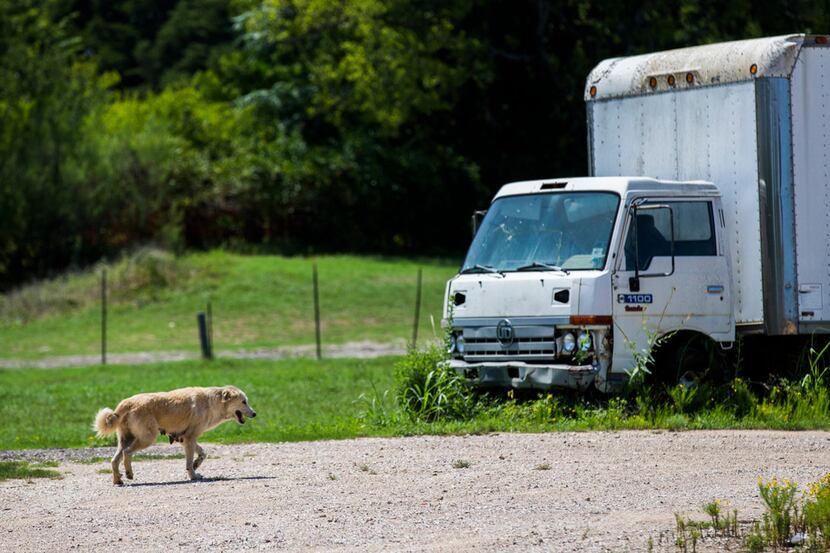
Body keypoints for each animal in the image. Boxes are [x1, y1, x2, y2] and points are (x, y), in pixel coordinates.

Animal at [94, 384, 256, 484]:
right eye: (244, 402)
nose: (254, 414)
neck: (212, 402)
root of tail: (126, 403)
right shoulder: (190, 438)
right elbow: (189, 462)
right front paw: (193, 475)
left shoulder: (185, 439)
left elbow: (202, 454)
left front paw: (196, 465)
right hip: (147, 438)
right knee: (127, 453)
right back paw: (129, 473)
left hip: (125, 439)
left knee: (114, 460)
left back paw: (118, 480)